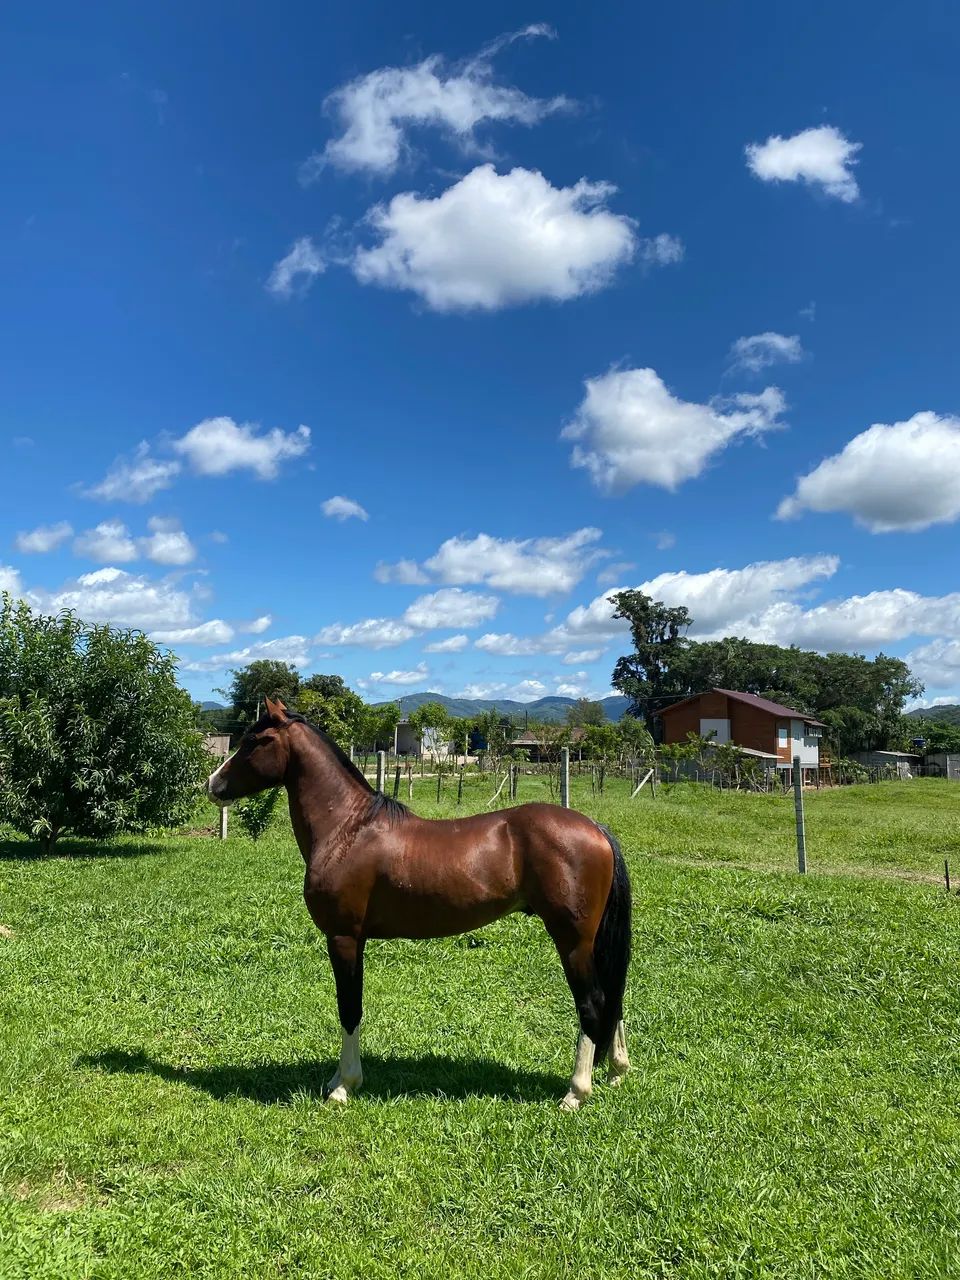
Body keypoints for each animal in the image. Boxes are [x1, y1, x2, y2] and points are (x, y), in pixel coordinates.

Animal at [207, 697, 632, 1111]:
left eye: (255, 741)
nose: (212, 784)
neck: (348, 829)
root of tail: (596, 829)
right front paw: (337, 1079)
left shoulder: (344, 938)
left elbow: (349, 1008)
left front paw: (344, 1086)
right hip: (590, 943)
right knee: (613, 997)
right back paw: (615, 1071)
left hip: (572, 940)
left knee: (593, 1003)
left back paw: (576, 1092)